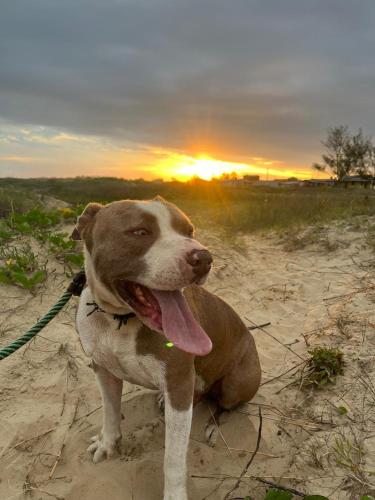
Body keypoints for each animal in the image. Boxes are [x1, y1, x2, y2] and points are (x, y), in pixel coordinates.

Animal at [73, 198, 262, 500]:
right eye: (139, 232)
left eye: (189, 231)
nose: (203, 258)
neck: (120, 321)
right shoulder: (103, 369)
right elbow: (110, 411)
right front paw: (107, 443)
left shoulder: (179, 383)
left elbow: (172, 458)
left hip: (237, 382)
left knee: (225, 405)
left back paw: (213, 426)